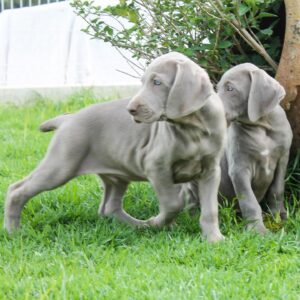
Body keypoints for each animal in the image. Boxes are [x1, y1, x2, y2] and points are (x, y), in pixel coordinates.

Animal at [4, 52, 226, 243]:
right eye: (143, 82)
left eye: (157, 82)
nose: (131, 109)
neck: (193, 127)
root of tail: (67, 119)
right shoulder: (156, 165)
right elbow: (173, 203)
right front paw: (158, 222)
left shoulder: (211, 170)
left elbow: (210, 209)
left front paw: (214, 239)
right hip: (61, 164)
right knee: (16, 190)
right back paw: (13, 232)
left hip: (115, 175)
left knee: (109, 207)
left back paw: (137, 226)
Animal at [189, 62, 292, 233]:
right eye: (217, 88)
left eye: (230, 88)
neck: (260, 126)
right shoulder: (239, 169)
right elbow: (249, 201)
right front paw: (257, 229)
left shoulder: (282, 160)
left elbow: (277, 191)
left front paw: (279, 218)